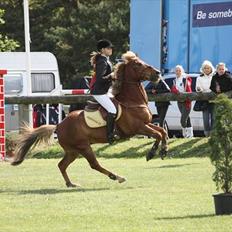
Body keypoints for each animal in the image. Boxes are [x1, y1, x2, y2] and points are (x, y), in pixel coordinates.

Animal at [11, 51, 168, 188]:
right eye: (138, 64)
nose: (158, 73)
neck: (131, 101)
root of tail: (59, 125)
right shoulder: (137, 127)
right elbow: (157, 134)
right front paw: (151, 153)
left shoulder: (146, 124)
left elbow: (162, 131)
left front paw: (163, 151)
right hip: (84, 147)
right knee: (94, 165)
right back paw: (117, 177)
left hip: (73, 151)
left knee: (62, 165)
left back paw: (71, 184)